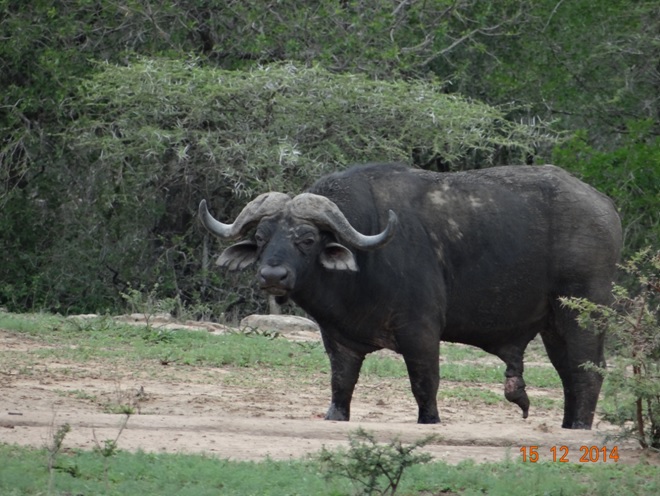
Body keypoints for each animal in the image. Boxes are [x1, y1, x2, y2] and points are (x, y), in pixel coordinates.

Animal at [199, 162, 620, 426]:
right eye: (261, 238)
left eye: (306, 239)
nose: (273, 275)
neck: (366, 263)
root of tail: (606, 207)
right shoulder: (339, 341)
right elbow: (341, 387)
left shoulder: (421, 333)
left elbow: (425, 386)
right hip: (552, 326)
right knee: (568, 374)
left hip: (583, 315)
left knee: (587, 372)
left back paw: (579, 427)